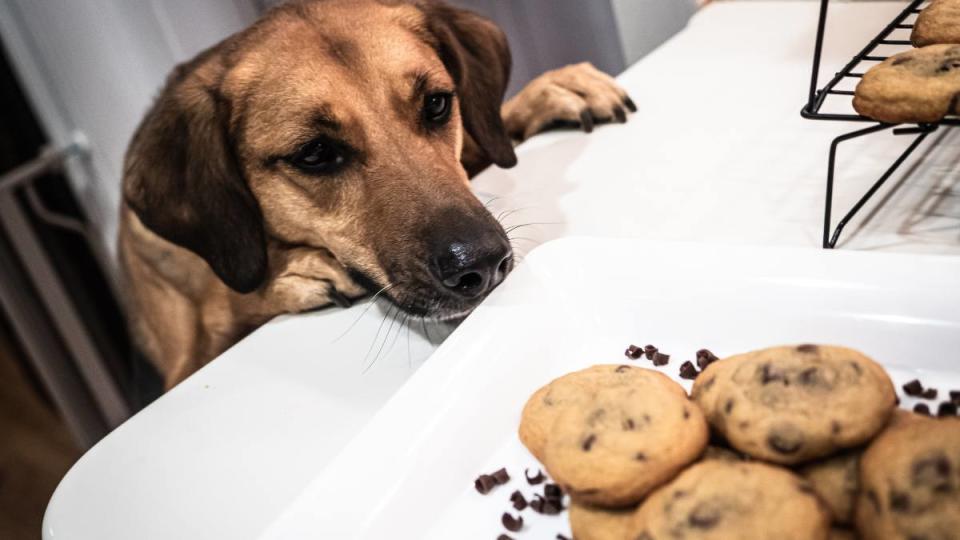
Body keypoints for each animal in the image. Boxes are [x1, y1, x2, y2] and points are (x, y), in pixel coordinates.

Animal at [118, 0, 632, 388]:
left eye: (437, 104)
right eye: (315, 153)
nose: (484, 265)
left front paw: (548, 90)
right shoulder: (185, 357)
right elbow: (225, 302)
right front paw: (290, 274)